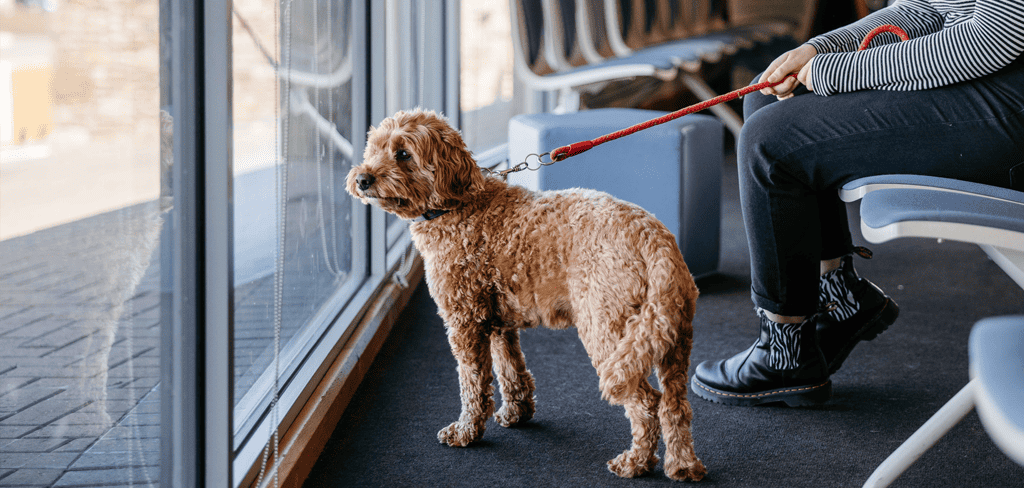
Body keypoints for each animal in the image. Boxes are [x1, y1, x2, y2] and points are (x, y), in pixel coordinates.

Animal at [348, 109, 708, 478]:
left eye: (403, 154)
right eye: (374, 149)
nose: (362, 179)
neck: (458, 204)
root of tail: (655, 239)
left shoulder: (465, 321)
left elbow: (472, 383)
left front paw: (466, 431)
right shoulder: (497, 321)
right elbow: (510, 369)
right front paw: (517, 412)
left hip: (611, 333)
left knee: (647, 402)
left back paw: (636, 462)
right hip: (669, 336)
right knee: (676, 405)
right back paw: (682, 465)